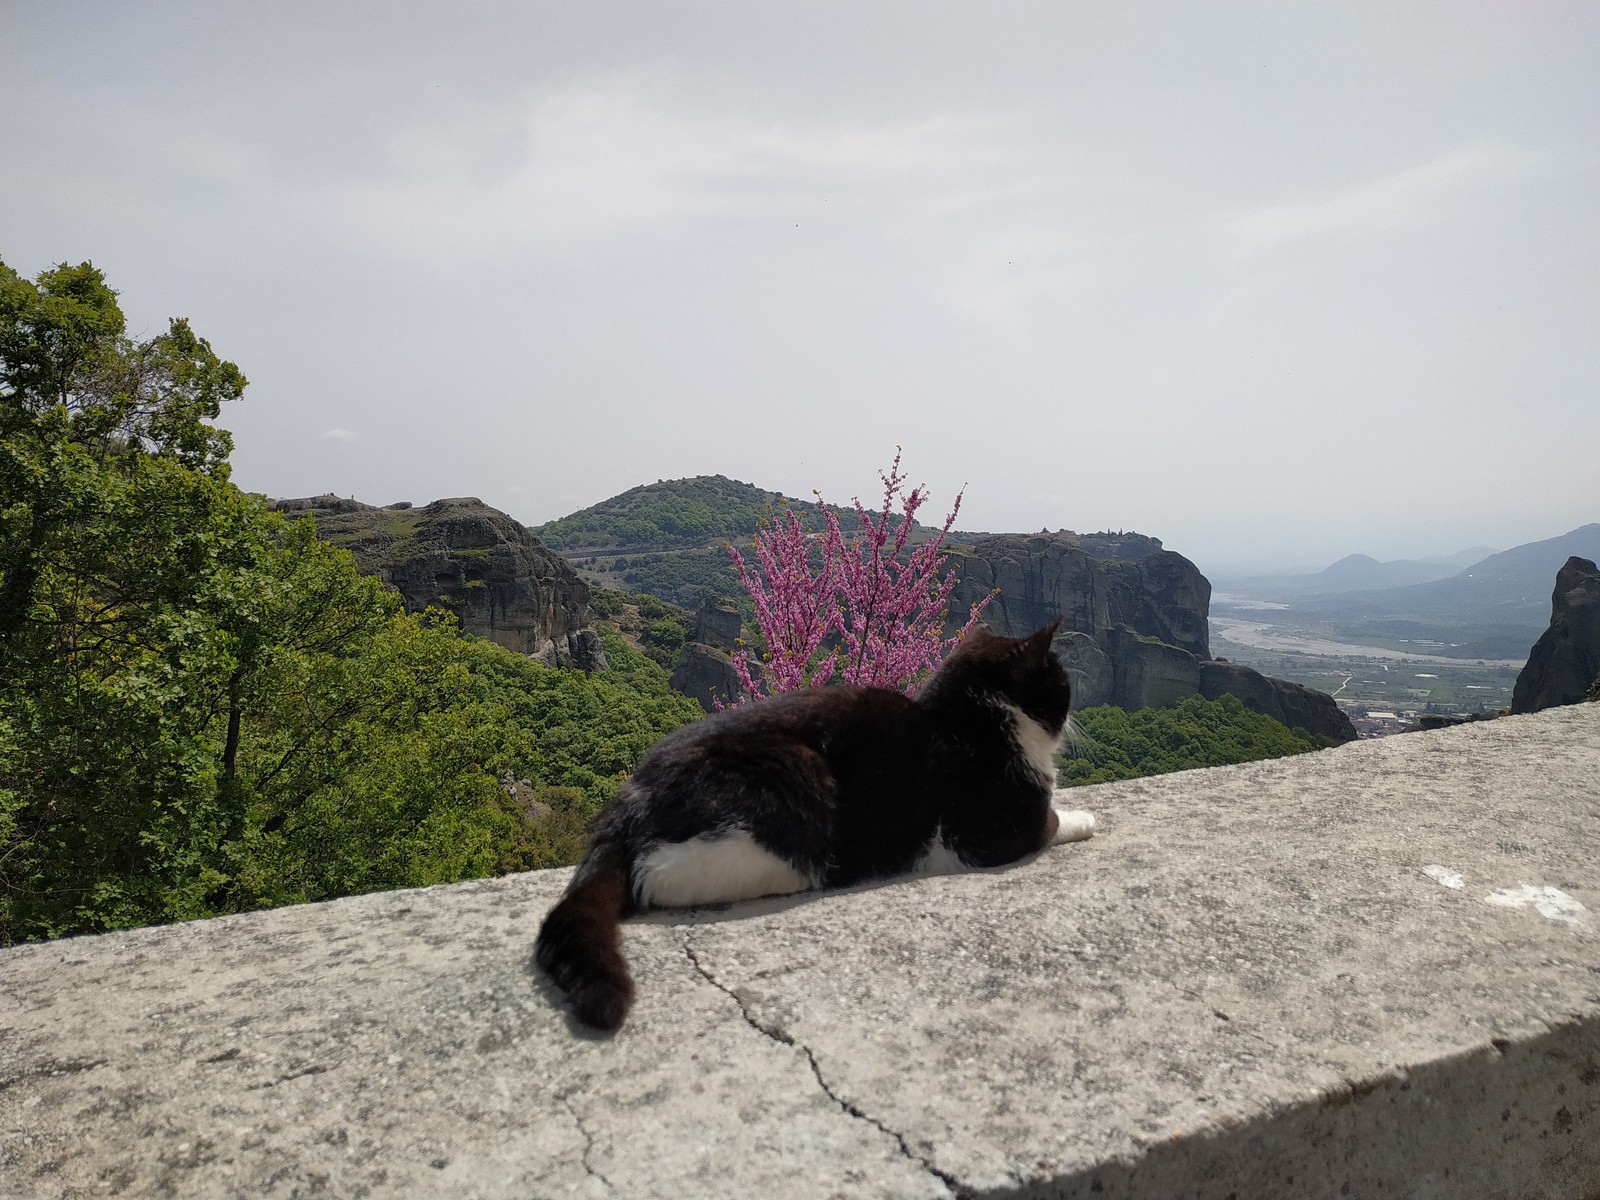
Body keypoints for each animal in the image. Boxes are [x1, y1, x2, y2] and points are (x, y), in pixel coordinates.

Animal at [531, 620, 1094, 1036]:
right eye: (1063, 687)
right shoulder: (991, 831)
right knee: (660, 875)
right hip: (794, 784)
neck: (974, 720)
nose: (1075, 717)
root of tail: (626, 803)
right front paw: (1086, 818)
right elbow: (1050, 820)